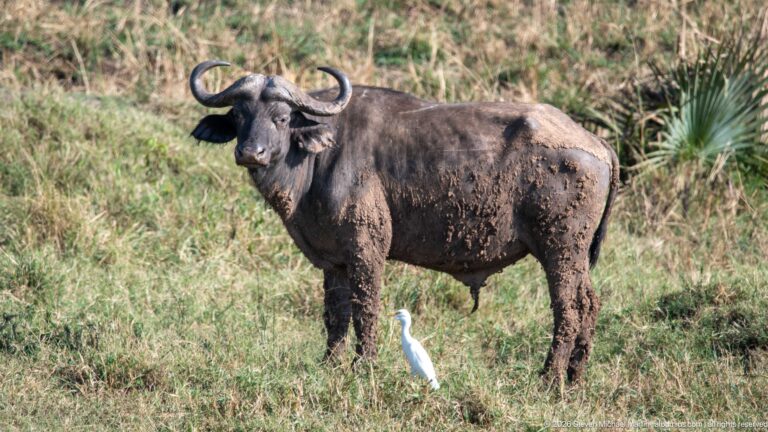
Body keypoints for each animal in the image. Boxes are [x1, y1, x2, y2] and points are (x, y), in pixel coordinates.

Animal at [189, 60, 619, 384]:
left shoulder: (367, 251)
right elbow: (334, 314)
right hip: (576, 256)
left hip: (559, 249)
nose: (251, 152)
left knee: (568, 309)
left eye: (281, 117)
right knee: (590, 303)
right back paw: (575, 376)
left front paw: (364, 366)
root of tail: (597, 143)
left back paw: (549, 377)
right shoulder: (334, 260)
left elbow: (365, 307)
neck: (317, 159)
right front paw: (329, 365)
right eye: (239, 115)